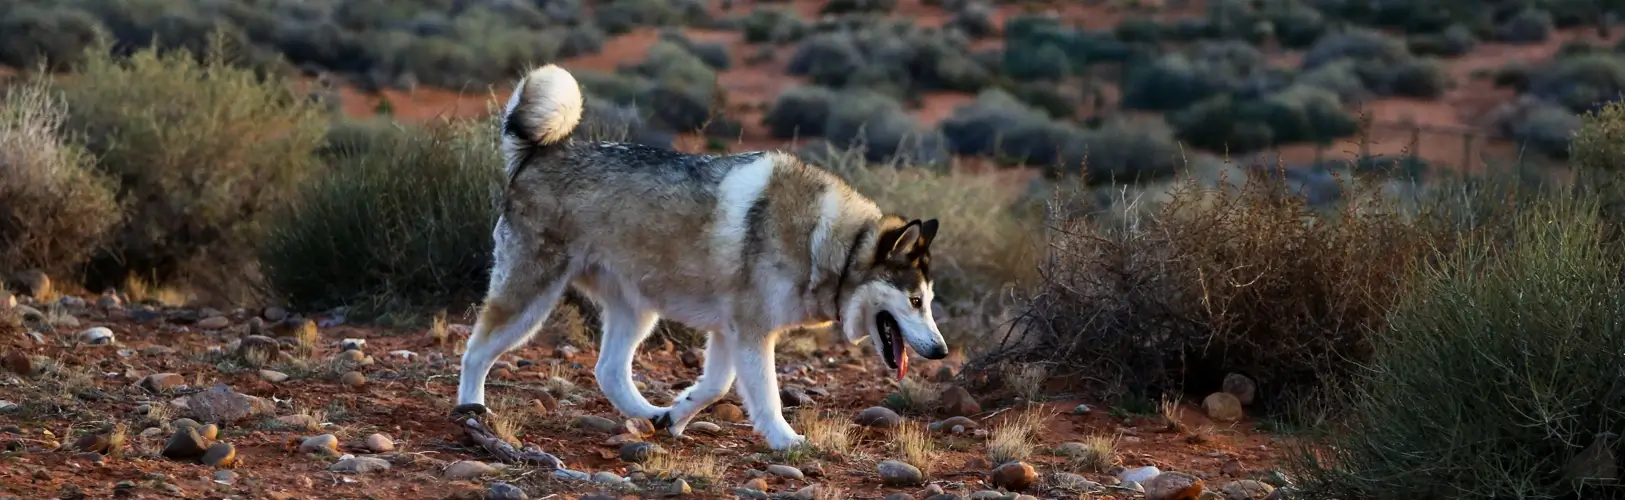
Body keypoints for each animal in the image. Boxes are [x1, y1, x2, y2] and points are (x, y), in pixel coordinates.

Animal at [451, 64, 949, 451]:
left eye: (928, 301)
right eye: (915, 301)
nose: (941, 351)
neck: (828, 244)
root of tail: (536, 155)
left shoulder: (730, 333)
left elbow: (714, 386)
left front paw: (677, 415)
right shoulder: (750, 333)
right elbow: (765, 397)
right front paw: (785, 440)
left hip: (637, 312)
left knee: (608, 370)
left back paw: (650, 414)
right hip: (530, 301)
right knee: (475, 350)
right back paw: (471, 408)